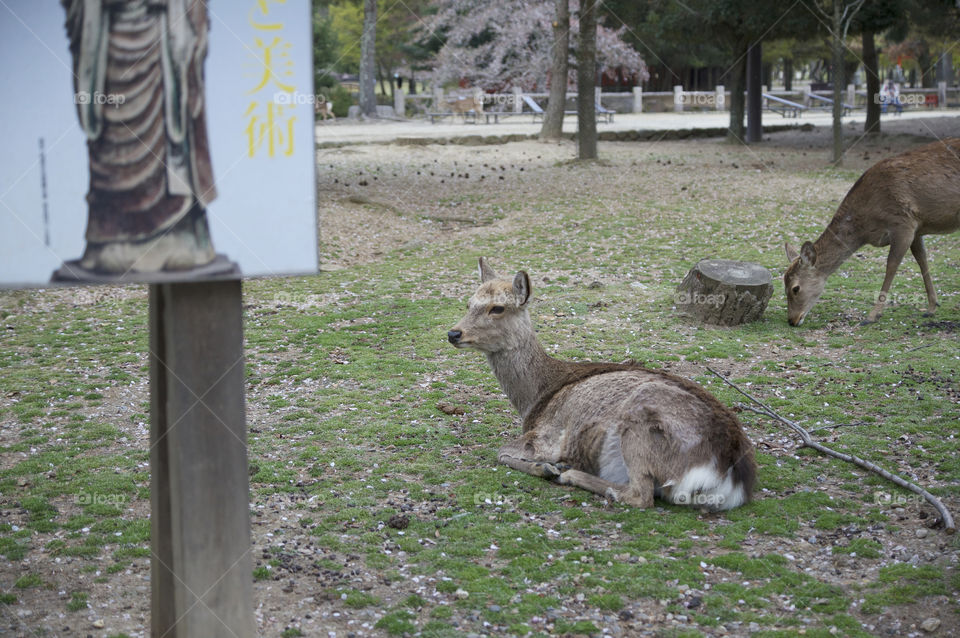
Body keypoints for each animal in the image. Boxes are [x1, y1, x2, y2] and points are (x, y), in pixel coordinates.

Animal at [447, 258, 756, 511]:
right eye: (468, 304)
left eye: (497, 307)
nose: (453, 333)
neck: (534, 398)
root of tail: (730, 476)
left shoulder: (547, 435)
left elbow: (501, 452)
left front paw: (545, 467)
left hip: (641, 423)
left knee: (640, 495)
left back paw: (568, 473)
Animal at [784, 137, 960, 326]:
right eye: (784, 284)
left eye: (795, 288)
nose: (792, 320)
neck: (865, 227)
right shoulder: (917, 227)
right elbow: (922, 259)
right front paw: (931, 307)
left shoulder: (902, 223)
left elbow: (891, 265)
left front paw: (872, 316)